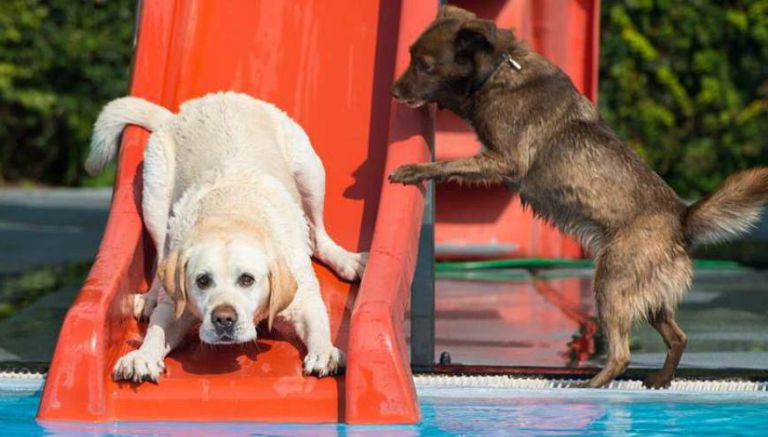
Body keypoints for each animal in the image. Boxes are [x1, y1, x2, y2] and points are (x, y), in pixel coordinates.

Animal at [390, 4, 768, 388]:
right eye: (410, 56)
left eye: (424, 65)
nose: (393, 91)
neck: (498, 69)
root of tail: (682, 218)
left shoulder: (503, 161)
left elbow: (447, 164)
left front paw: (413, 170)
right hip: (648, 296)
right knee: (679, 337)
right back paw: (660, 379)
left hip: (610, 282)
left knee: (622, 355)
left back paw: (590, 384)